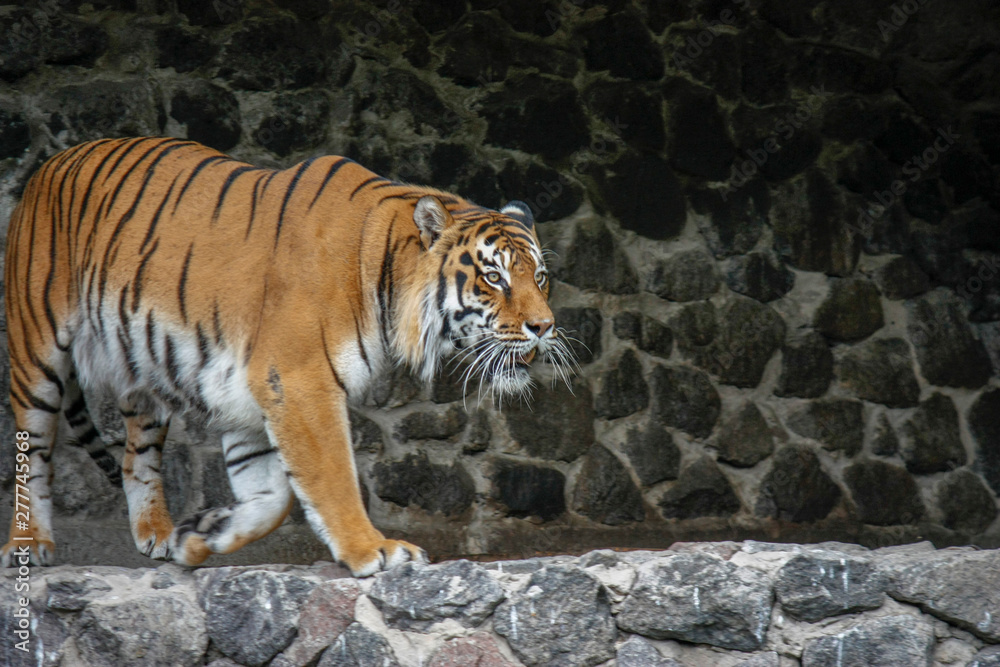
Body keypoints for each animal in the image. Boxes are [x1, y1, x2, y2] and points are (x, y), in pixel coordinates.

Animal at [1, 136, 574, 576]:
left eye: (541, 276)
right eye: (494, 277)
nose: (544, 327)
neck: (384, 272)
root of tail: (49, 162)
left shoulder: (245, 395)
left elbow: (272, 499)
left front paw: (201, 536)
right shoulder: (299, 382)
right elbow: (332, 477)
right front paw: (374, 550)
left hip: (144, 377)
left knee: (133, 457)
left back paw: (158, 535)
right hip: (38, 357)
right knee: (33, 456)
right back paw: (29, 547)